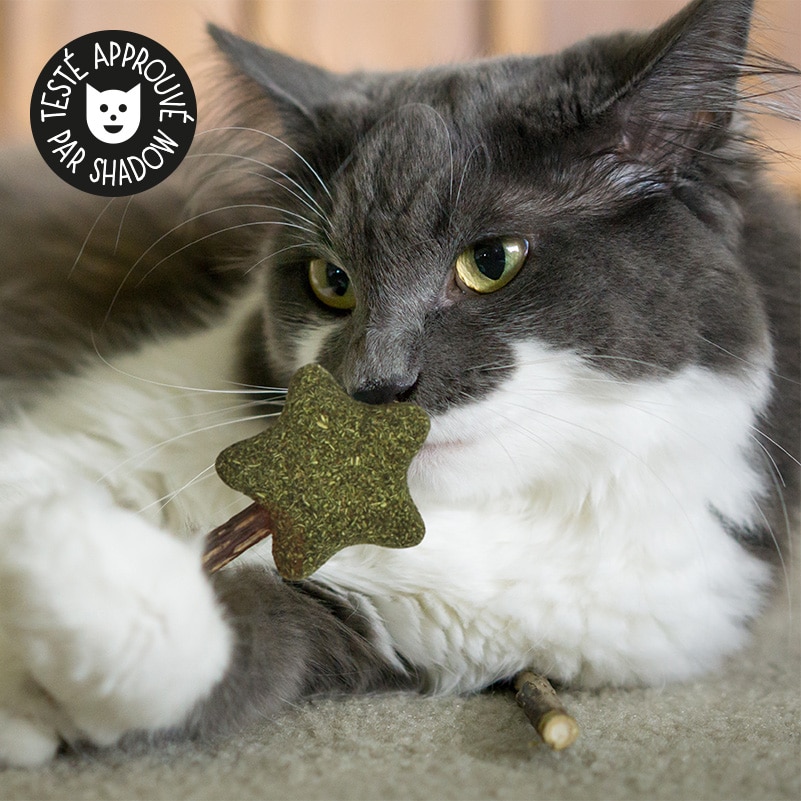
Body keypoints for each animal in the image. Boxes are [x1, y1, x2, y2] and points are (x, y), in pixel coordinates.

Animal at [1, 0, 800, 764]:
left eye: (492, 261)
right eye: (331, 282)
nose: (375, 383)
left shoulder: (391, 622)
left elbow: (231, 641)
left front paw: (69, 569)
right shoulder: (91, 430)